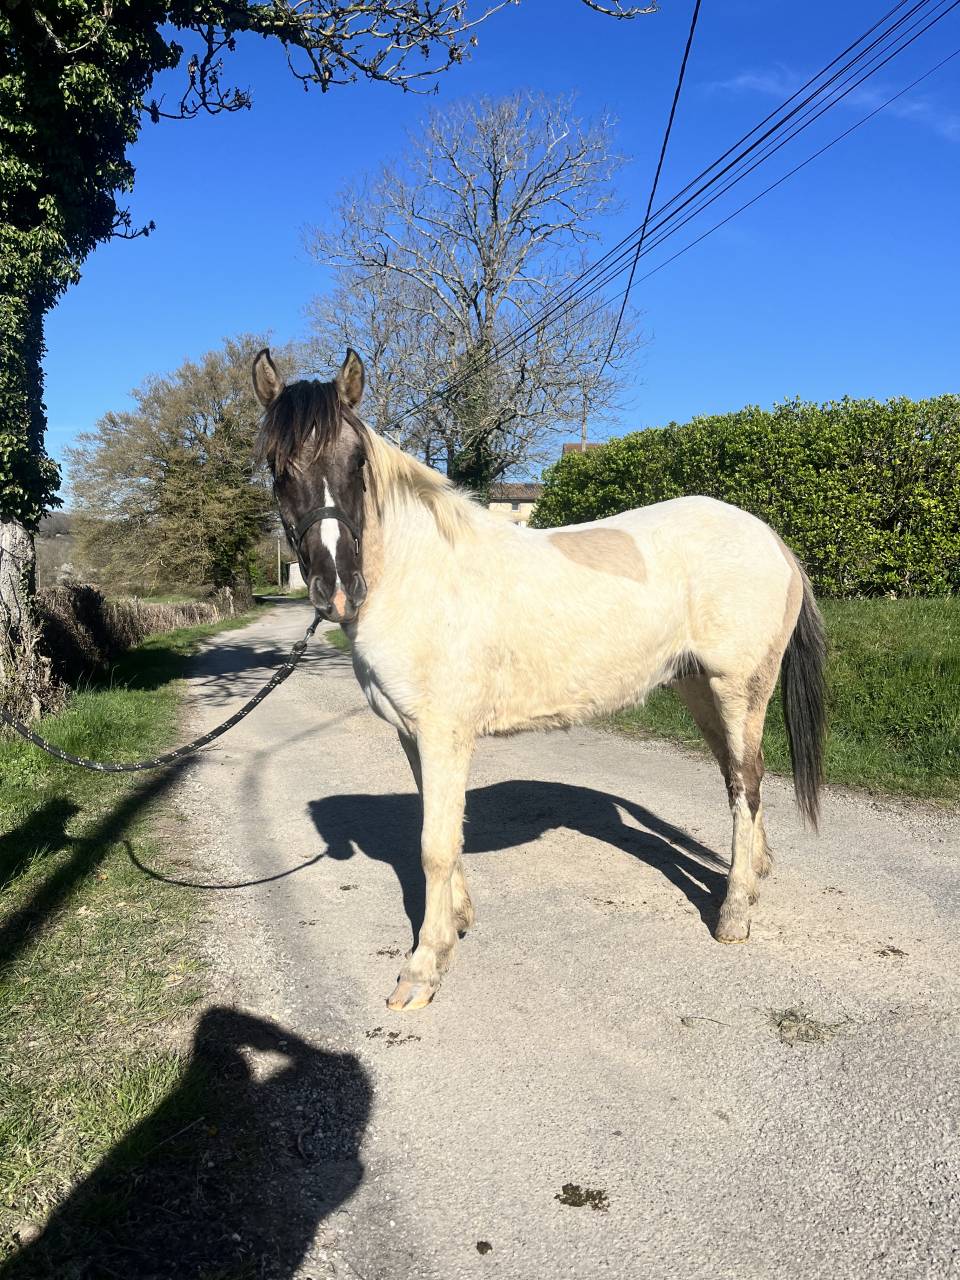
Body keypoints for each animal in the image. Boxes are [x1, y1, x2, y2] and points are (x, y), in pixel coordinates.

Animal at [253, 347, 826, 1012]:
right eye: (277, 467)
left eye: (357, 462)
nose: (338, 589)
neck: (419, 576)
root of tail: (770, 538)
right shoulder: (413, 734)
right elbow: (440, 829)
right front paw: (459, 921)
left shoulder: (444, 734)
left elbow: (433, 846)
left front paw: (423, 969)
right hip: (699, 688)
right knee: (737, 775)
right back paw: (753, 879)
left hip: (739, 687)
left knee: (746, 785)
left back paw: (734, 914)